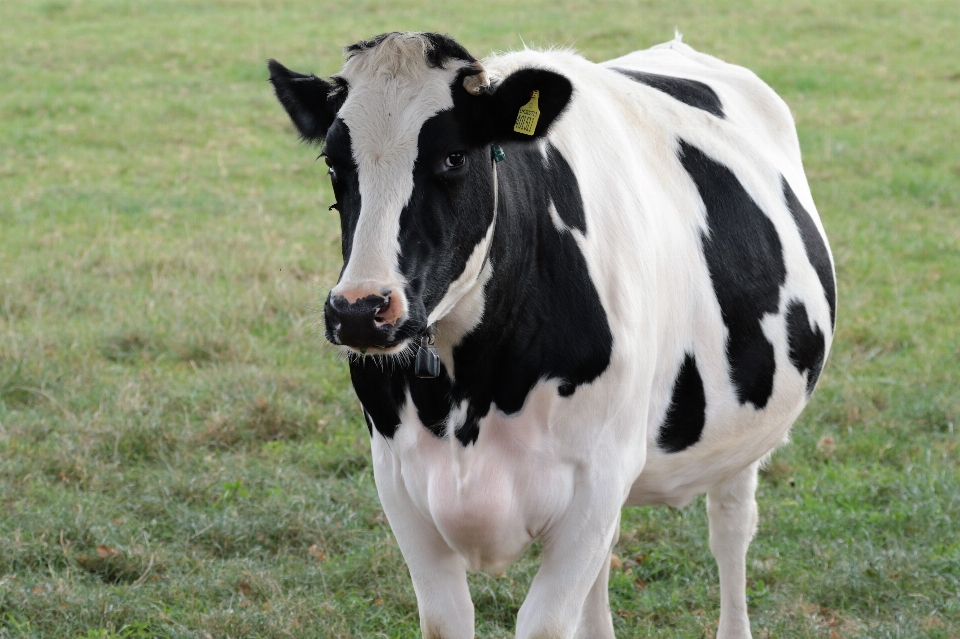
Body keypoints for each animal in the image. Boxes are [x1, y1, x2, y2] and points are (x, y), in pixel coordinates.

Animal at [268, 31, 832, 639]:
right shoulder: (398, 480)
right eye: (333, 163)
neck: (470, 388)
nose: (359, 310)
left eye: (454, 156)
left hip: (742, 433)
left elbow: (545, 622)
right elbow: (447, 618)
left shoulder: (596, 484)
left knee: (730, 528)